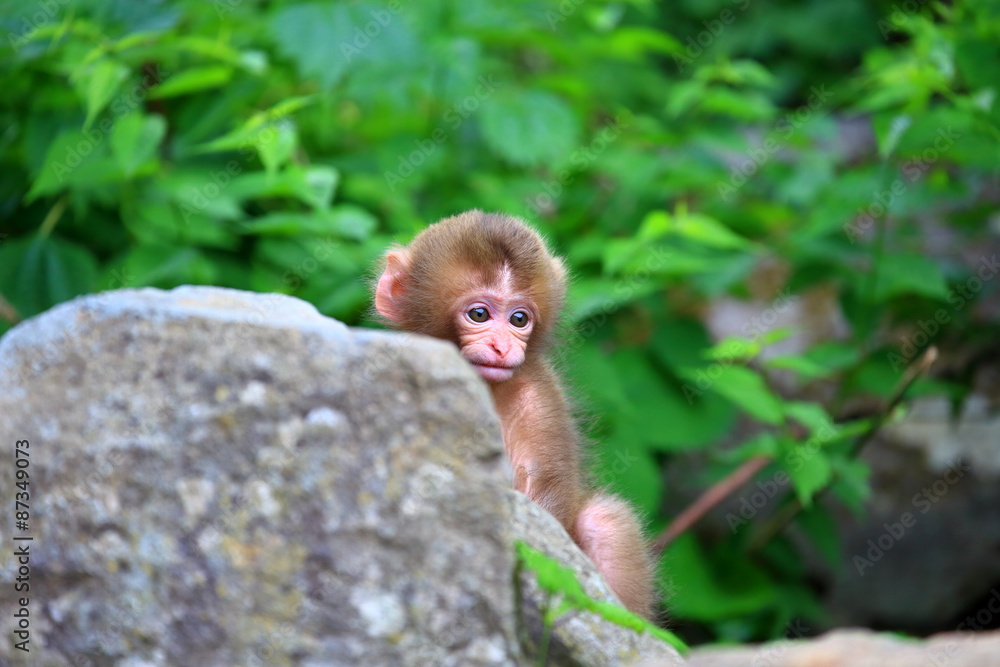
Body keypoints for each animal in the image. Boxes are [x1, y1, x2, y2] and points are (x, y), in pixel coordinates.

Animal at [376, 211, 656, 620]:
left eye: (519, 319)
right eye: (479, 314)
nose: (503, 346)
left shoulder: (537, 395)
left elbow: (542, 497)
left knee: (605, 522)